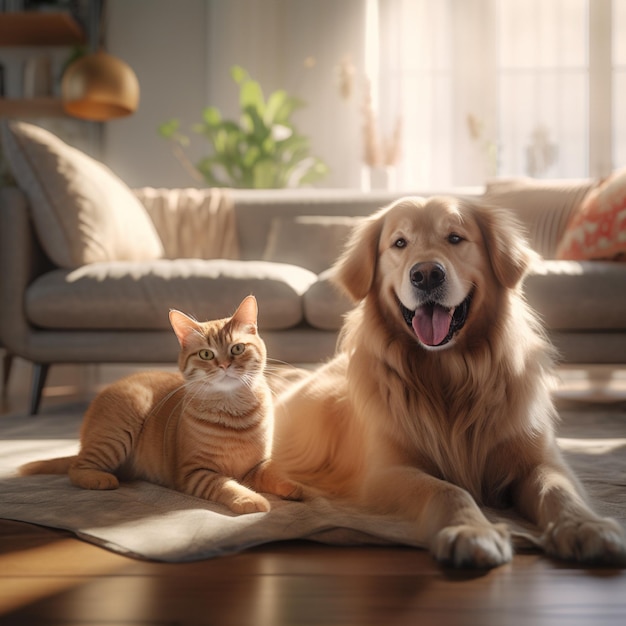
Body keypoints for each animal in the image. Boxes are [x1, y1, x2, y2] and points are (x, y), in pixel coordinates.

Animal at [20, 296, 298, 512]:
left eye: (237, 349)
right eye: (206, 354)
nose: (224, 365)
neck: (233, 412)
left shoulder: (257, 466)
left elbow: (274, 473)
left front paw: (295, 487)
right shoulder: (195, 473)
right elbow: (227, 485)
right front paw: (250, 499)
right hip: (117, 432)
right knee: (76, 468)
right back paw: (99, 479)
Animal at [272, 197, 624, 568]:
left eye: (455, 238)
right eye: (399, 243)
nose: (427, 274)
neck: (449, 374)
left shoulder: (541, 459)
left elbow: (558, 489)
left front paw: (586, 526)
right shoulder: (384, 473)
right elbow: (447, 489)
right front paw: (471, 531)